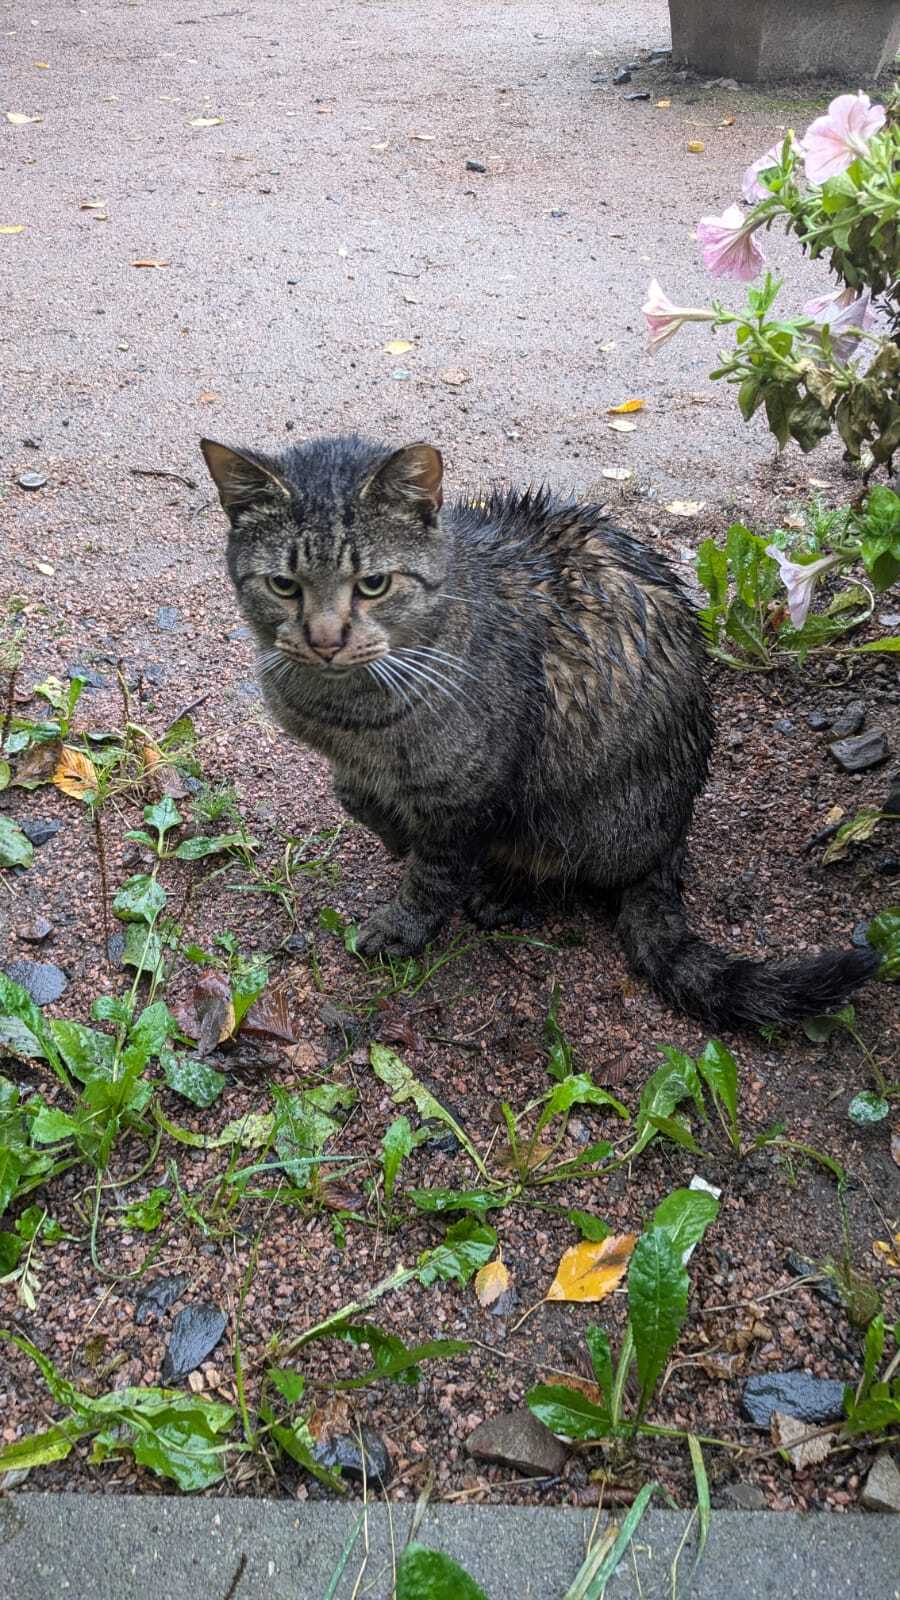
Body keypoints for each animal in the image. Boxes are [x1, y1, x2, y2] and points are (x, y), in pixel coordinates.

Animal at [197, 432, 877, 1024]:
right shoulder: (350, 761)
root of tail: (671, 837)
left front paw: (404, 920)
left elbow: (433, 871)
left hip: (570, 808)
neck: (349, 716)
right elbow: (354, 797)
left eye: (373, 584)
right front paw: (388, 829)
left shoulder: (468, 792)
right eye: (284, 586)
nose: (325, 640)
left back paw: (504, 891)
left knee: (563, 870)